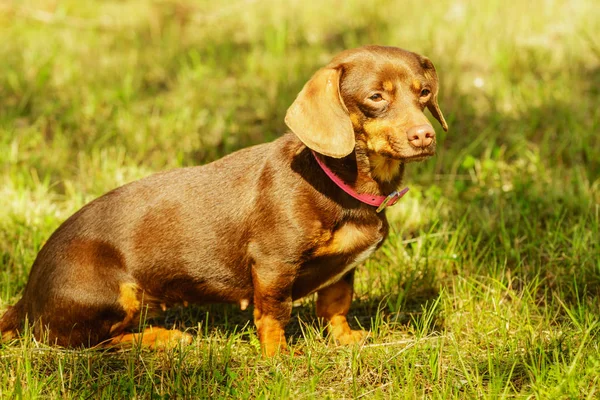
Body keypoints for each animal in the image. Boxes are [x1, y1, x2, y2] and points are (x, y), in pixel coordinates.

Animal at [0, 46, 446, 356]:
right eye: (375, 97)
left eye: (424, 93)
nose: (425, 135)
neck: (338, 180)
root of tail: (26, 299)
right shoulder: (273, 264)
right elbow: (274, 314)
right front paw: (278, 356)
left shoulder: (344, 268)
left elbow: (336, 305)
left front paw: (347, 340)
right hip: (113, 295)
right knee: (91, 342)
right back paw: (161, 338)